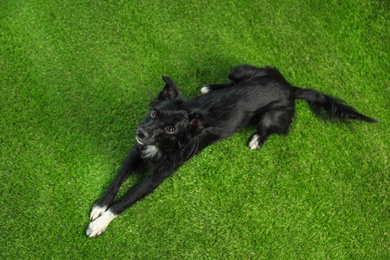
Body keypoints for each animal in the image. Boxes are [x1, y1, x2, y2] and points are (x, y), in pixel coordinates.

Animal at [87, 65, 376, 238]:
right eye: (155, 112)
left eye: (170, 129)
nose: (141, 132)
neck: (164, 146)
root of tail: (289, 87)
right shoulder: (136, 151)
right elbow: (117, 181)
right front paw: (100, 205)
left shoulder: (157, 178)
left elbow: (125, 201)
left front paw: (100, 224)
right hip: (238, 70)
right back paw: (210, 87)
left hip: (272, 117)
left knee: (270, 131)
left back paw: (257, 139)